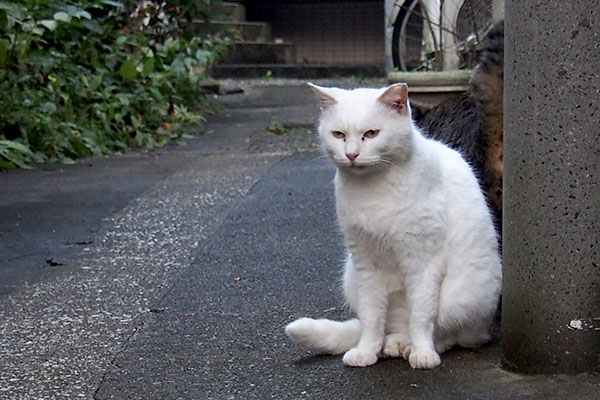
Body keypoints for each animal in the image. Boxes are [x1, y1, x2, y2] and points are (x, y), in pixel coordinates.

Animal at [286, 83, 502, 370]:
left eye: (372, 133)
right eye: (338, 134)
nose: (351, 154)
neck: (372, 190)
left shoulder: (422, 262)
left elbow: (421, 316)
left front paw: (423, 354)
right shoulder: (365, 261)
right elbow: (371, 317)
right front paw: (366, 352)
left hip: (461, 299)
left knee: (450, 334)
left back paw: (415, 347)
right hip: (352, 277)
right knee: (394, 325)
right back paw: (392, 344)